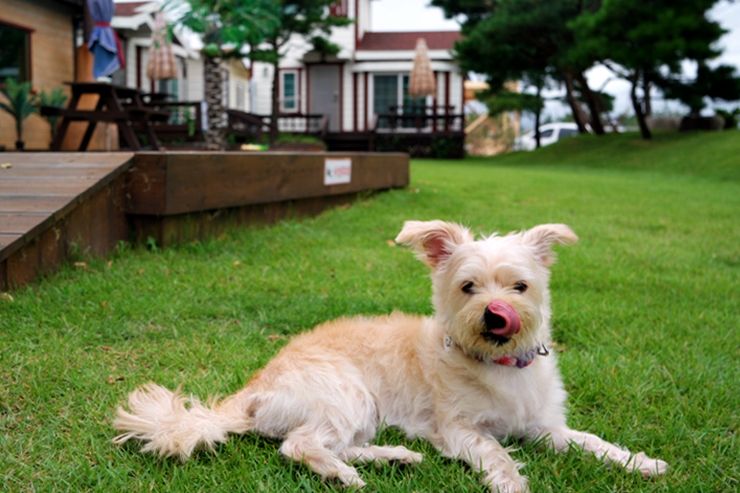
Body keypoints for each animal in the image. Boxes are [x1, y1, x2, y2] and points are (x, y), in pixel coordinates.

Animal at [112, 221, 668, 490]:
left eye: (520, 286)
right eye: (468, 287)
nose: (495, 315)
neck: (498, 365)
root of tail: (253, 389)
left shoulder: (546, 427)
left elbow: (592, 442)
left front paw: (639, 462)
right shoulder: (460, 429)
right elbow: (497, 454)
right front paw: (512, 485)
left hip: (361, 411)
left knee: (332, 443)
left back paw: (396, 456)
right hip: (346, 393)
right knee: (300, 446)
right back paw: (345, 475)